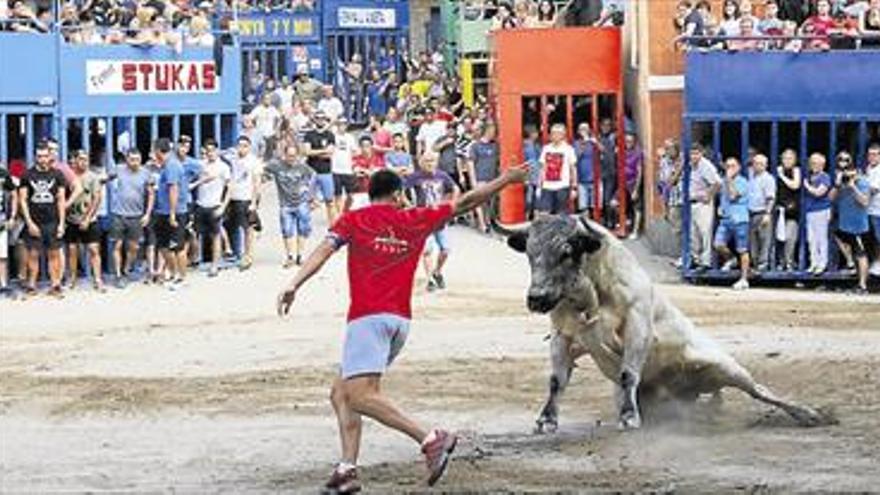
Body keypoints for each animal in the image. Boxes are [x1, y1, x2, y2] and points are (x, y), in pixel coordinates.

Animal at [502, 215, 824, 432]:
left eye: (567, 251)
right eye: (530, 253)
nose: (536, 298)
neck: (591, 295)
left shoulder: (638, 326)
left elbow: (628, 374)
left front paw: (628, 417)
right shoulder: (562, 335)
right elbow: (557, 381)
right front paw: (546, 420)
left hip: (727, 367)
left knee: (760, 390)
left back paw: (808, 413)